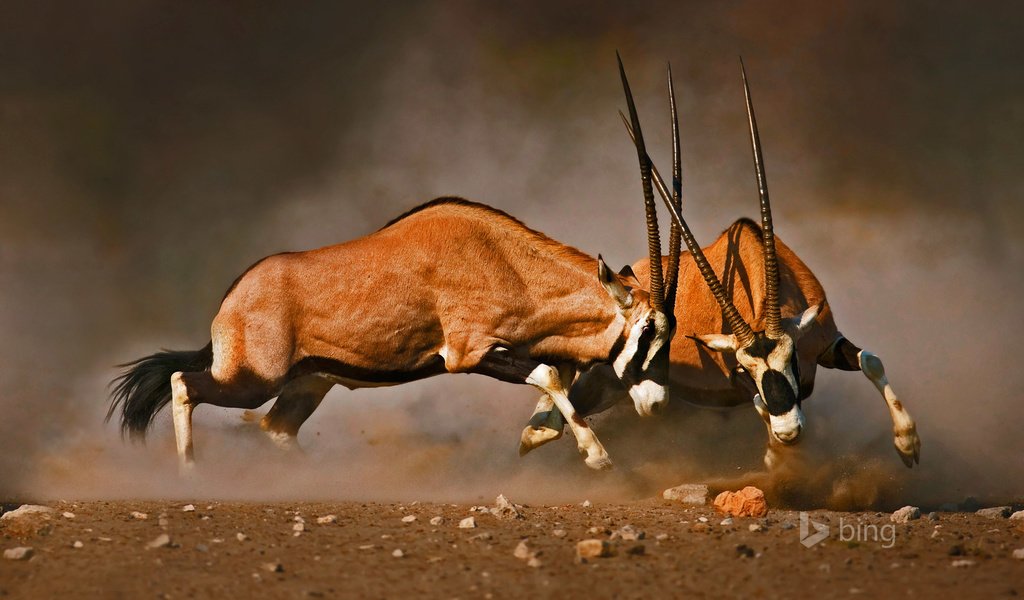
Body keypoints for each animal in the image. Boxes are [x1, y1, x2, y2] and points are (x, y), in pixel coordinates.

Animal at [108, 193, 679, 468]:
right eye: (646, 332)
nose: (658, 403)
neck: (505, 261)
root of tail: (232, 299)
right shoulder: (468, 354)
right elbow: (549, 374)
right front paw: (597, 455)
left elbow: (558, 376)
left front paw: (538, 435)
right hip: (251, 380)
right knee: (184, 383)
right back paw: (189, 472)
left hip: (308, 383)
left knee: (277, 428)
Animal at [520, 57, 921, 466]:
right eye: (745, 367)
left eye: (792, 359)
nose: (789, 432)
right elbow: (760, 403)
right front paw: (776, 460)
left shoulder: (825, 341)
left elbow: (871, 360)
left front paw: (908, 444)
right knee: (551, 415)